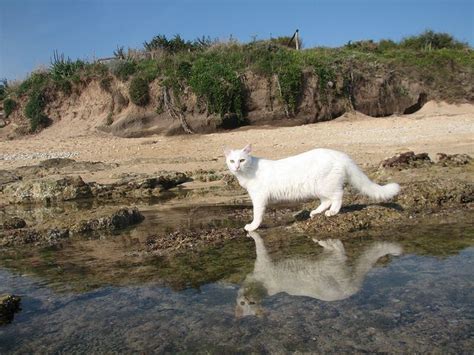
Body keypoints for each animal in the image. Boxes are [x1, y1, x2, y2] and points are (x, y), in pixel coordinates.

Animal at [224, 145, 398, 232]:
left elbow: (257, 215)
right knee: (326, 201)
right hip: (318, 188)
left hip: (326, 185)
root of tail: (339, 154)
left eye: (242, 160)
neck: (248, 172)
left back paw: (332, 212)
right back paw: (315, 213)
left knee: (338, 196)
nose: (237, 167)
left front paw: (252, 227)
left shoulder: (259, 198)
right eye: (232, 161)